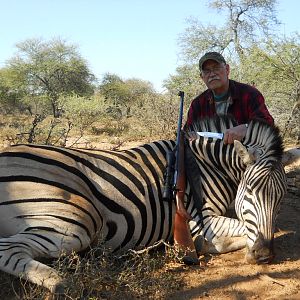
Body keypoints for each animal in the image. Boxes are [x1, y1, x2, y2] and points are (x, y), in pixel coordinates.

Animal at [0, 116, 288, 292]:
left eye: (281, 197)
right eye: (249, 190)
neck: (208, 166)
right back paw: (63, 284)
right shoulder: (203, 223)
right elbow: (239, 229)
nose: (264, 255)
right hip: (77, 220)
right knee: (8, 250)